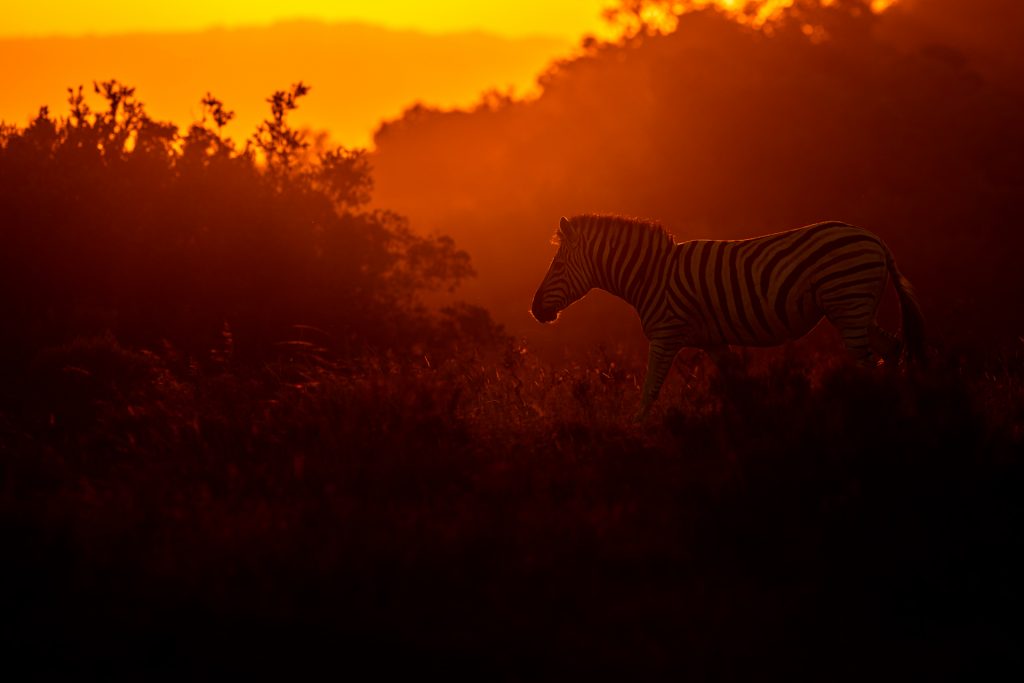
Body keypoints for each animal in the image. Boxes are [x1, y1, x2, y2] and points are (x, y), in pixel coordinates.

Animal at [531, 214, 925, 419]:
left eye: (558, 266)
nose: (535, 310)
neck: (651, 275)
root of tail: (874, 239)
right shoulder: (714, 343)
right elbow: (737, 387)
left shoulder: (665, 335)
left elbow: (648, 393)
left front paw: (636, 434)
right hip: (854, 308)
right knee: (892, 349)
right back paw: (902, 405)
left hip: (848, 304)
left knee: (868, 364)